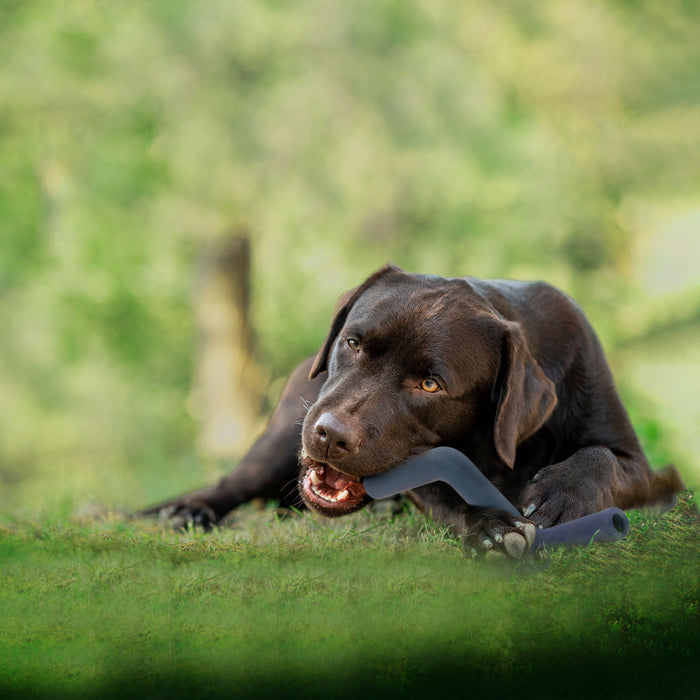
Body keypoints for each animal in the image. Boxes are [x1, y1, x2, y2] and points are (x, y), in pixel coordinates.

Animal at [142, 266, 684, 560]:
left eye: (430, 384)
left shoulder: (638, 461)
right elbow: (447, 490)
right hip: (282, 437)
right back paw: (186, 511)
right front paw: (491, 527)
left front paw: (560, 494)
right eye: (353, 343)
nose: (330, 435)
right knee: (233, 483)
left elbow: (601, 459)